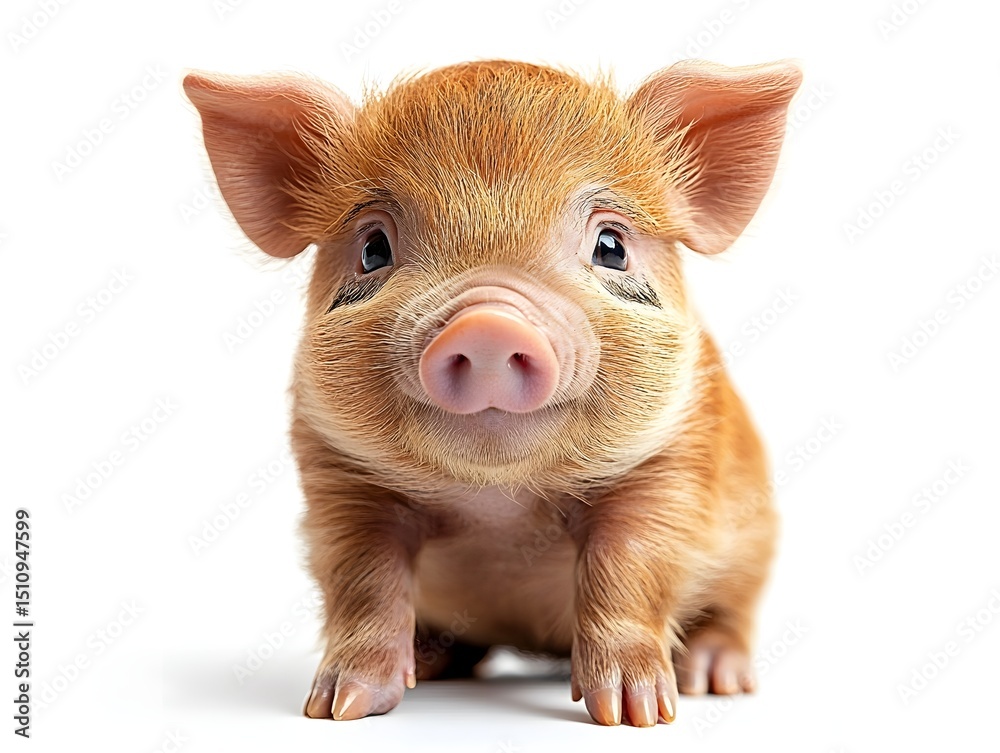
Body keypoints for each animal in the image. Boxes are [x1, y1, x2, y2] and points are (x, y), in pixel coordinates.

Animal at [183, 58, 801, 727]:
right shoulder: (339, 475)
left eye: (611, 246)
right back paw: (432, 661)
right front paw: (337, 708)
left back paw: (714, 677)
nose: (487, 323)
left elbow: (628, 566)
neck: (498, 503)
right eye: (373, 248)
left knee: (731, 612)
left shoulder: (672, 463)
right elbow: (363, 580)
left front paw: (636, 714)